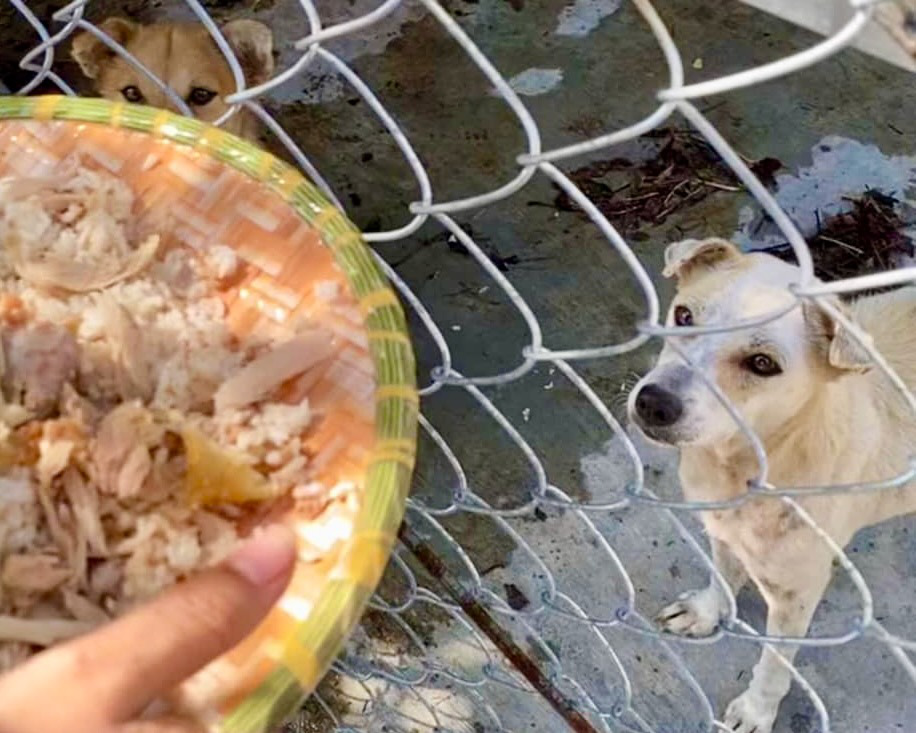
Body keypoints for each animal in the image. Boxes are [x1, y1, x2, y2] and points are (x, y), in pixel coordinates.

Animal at [628, 239, 916, 732]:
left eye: (762, 364)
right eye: (683, 315)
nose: (653, 402)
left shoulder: (797, 594)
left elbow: (774, 664)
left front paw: (756, 710)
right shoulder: (722, 528)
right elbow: (723, 576)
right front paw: (707, 612)